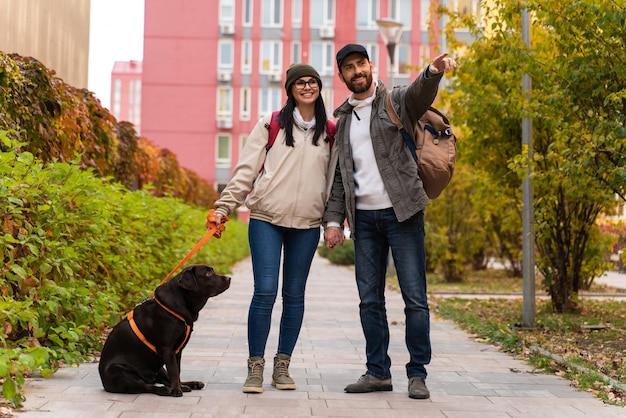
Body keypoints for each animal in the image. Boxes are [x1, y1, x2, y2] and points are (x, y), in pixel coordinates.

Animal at [98, 262, 230, 396]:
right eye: (207, 273)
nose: (229, 278)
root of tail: (104, 383)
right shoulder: (167, 349)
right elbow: (174, 372)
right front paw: (176, 390)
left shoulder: (177, 352)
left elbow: (177, 372)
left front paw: (179, 387)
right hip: (119, 372)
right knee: (145, 387)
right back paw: (164, 390)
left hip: (159, 368)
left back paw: (192, 384)